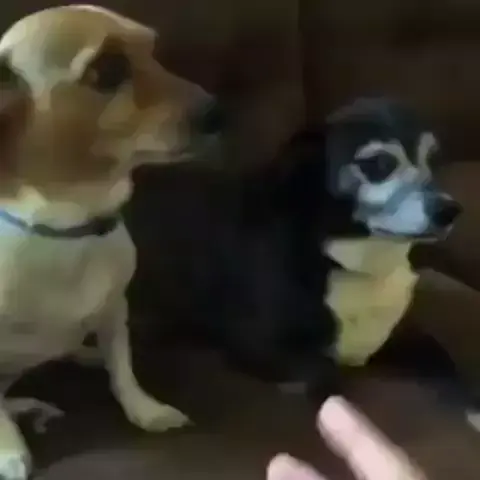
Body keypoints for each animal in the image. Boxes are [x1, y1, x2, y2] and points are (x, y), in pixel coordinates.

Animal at [0, 5, 222, 479]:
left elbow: (122, 370)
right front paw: (10, 449)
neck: (70, 229)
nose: (219, 112)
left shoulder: (114, 307)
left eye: (153, 52)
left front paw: (146, 410)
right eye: (108, 70)